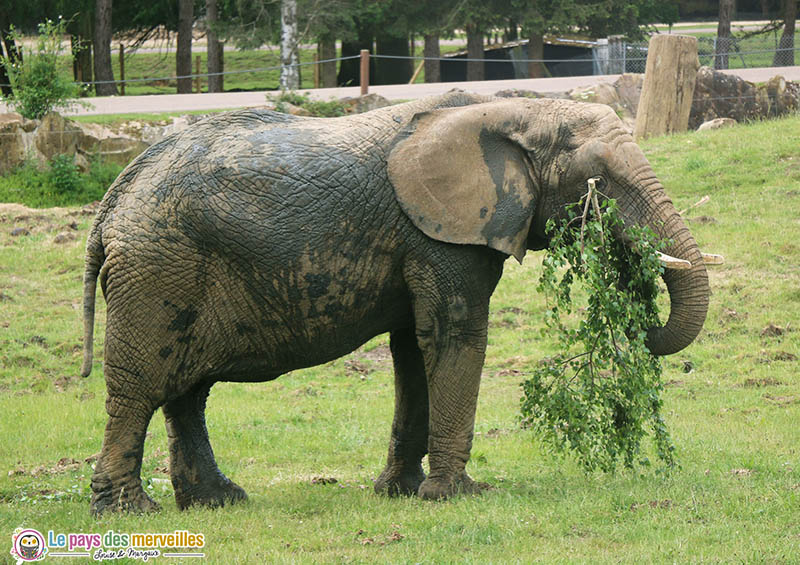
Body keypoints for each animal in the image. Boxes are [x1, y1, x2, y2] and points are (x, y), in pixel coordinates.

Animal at [81, 90, 712, 512]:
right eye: (597, 180)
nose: (630, 278)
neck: (513, 109)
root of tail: (111, 203)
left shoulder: (427, 238)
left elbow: (413, 351)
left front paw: (401, 494)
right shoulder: (440, 233)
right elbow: (456, 336)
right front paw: (458, 495)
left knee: (186, 392)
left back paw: (219, 501)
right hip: (159, 268)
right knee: (140, 388)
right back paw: (131, 511)